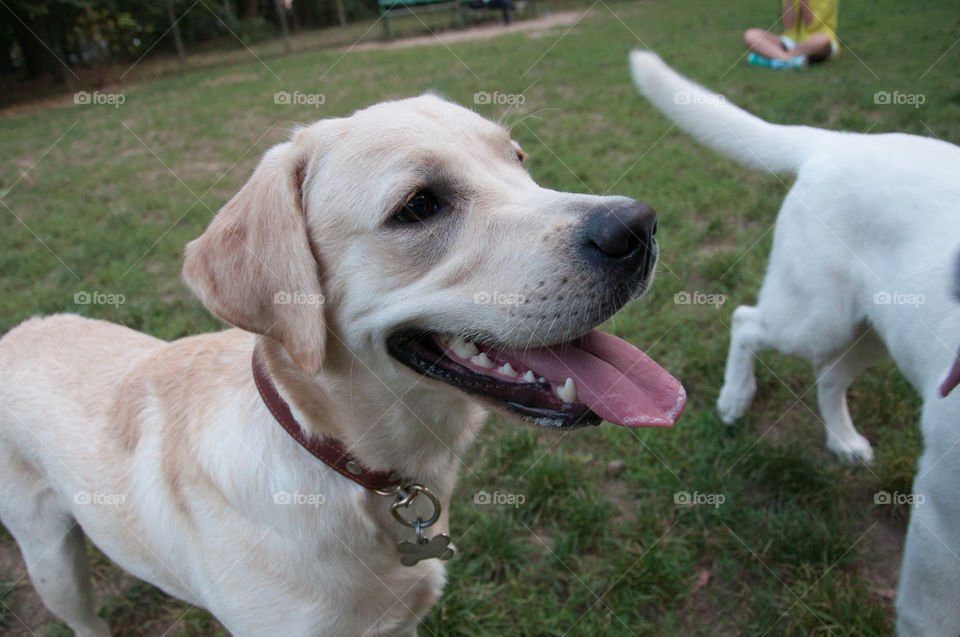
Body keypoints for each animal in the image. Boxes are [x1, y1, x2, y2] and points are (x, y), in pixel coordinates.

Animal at [1, 95, 688, 636]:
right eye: (418, 206)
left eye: (517, 160)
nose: (639, 225)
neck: (339, 457)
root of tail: (18, 329)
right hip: (53, 565)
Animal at [632, 51, 960, 636]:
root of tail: (839, 142)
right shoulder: (940, 517)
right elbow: (931, 616)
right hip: (815, 317)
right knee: (746, 321)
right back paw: (735, 398)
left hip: (872, 329)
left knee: (828, 378)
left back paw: (842, 439)